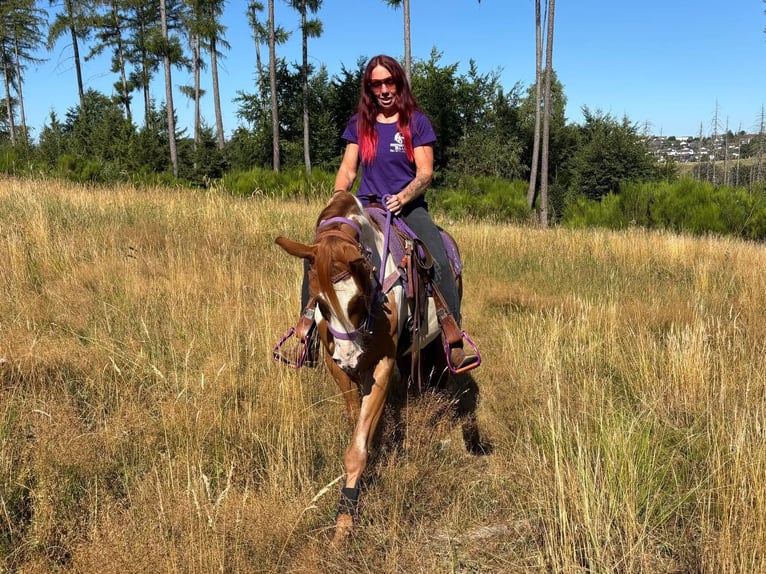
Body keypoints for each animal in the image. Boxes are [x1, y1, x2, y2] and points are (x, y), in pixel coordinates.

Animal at [274, 191, 489, 546]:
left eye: (358, 301)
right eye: (320, 303)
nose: (350, 356)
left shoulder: (381, 367)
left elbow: (357, 447)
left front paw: (344, 522)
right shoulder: (340, 370)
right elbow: (357, 425)